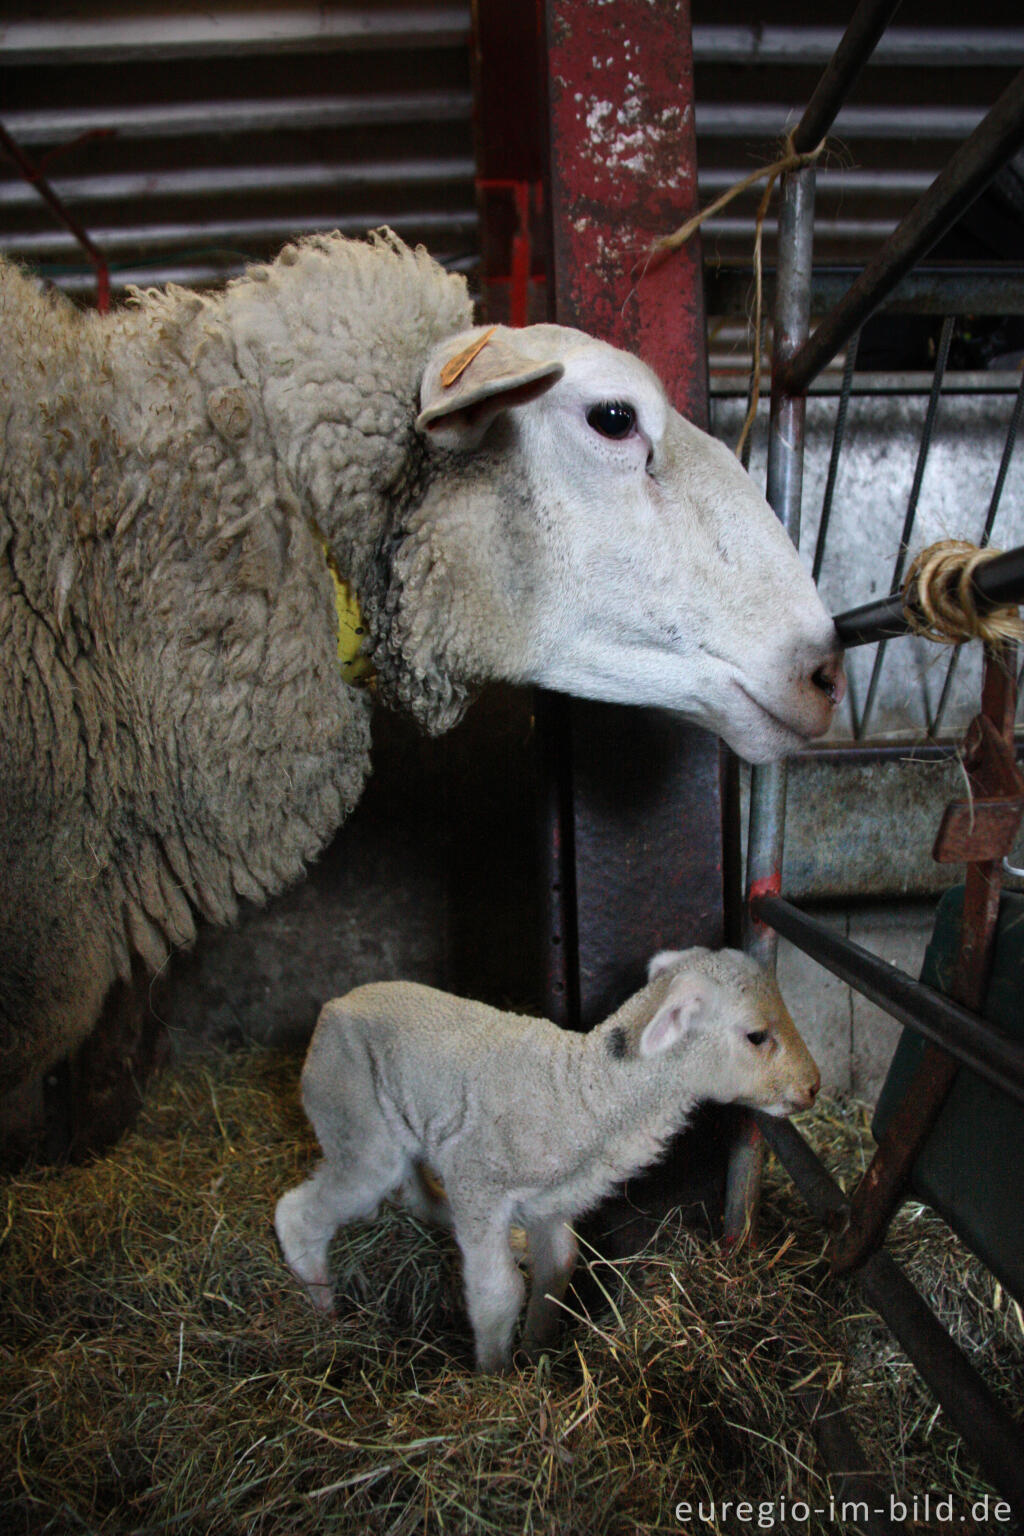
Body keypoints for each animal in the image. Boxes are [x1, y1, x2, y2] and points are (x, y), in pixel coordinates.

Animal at [276, 946, 822, 1370]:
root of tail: (336, 1004)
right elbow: (498, 1294)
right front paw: (495, 1376)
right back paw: (323, 1308)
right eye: (757, 1035)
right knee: (300, 1211)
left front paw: (537, 1355)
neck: (581, 1091)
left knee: (416, 1196)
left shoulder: (550, 1198)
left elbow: (558, 1267)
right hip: (355, 1119)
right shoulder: (480, 1179)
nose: (813, 1087)